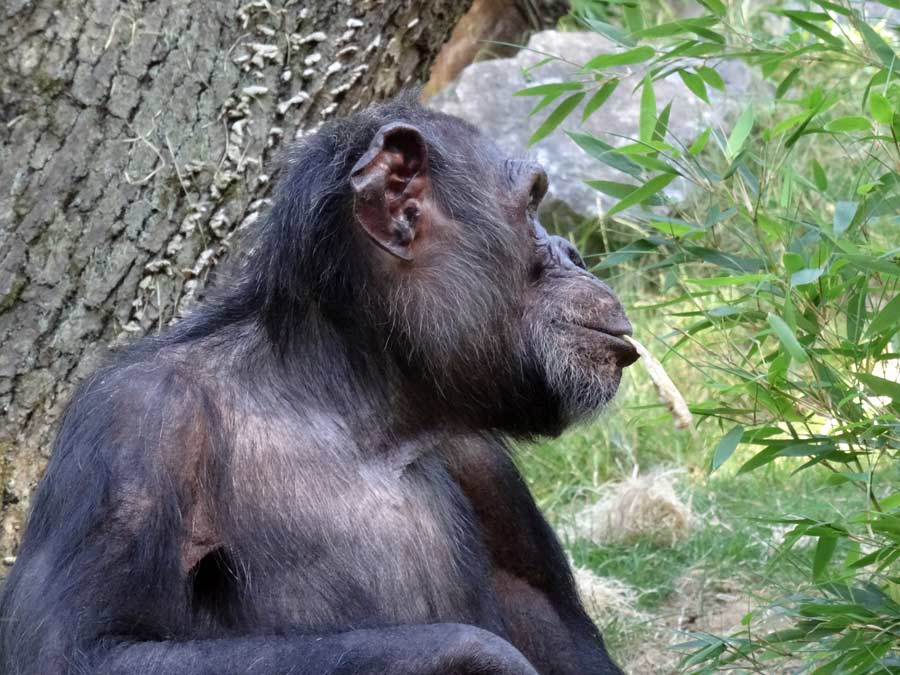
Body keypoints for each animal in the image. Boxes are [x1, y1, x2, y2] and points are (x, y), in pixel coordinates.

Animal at [0, 93, 636, 675]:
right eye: (531, 205)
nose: (574, 251)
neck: (355, 409)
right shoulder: (133, 424)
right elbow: (80, 647)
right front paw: (484, 660)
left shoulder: (486, 467)